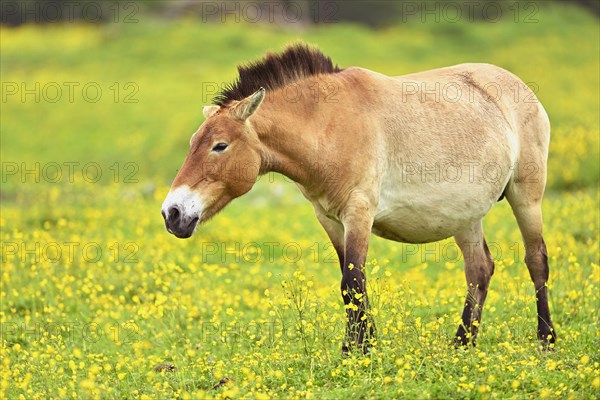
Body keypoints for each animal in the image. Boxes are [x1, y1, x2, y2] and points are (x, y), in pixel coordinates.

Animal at [162, 44, 556, 354]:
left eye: (220, 146)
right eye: (193, 143)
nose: (172, 213)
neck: (327, 125)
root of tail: (519, 87)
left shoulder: (359, 212)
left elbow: (352, 282)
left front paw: (358, 350)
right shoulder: (329, 218)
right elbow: (351, 284)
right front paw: (362, 346)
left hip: (526, 196)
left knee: (536, 260)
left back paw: (546, 340)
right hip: (466, 215)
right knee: (479, 270)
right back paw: (462, 343)